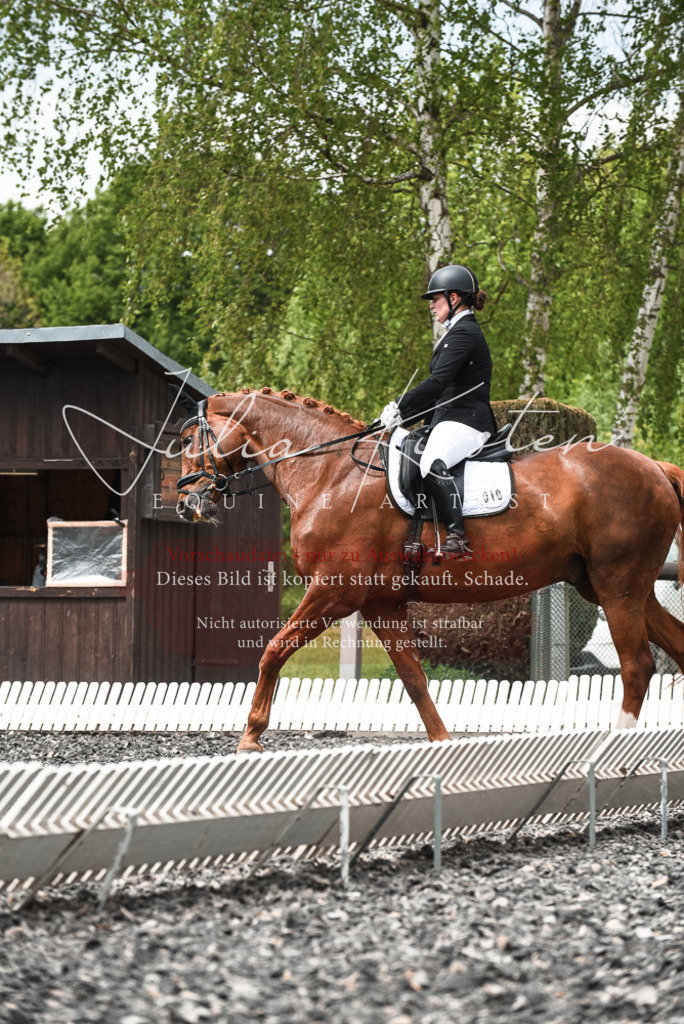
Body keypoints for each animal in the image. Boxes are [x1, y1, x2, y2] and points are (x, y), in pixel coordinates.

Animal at [175, 386, 684, 752]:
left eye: (186, 440)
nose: (187, 505)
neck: (330, 475)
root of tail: (654, 466)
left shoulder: (332, 593)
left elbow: (272, 650)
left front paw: (250, 738)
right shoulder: (380, 605)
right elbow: (415, 680)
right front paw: (441, 745)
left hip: (618, 587)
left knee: (636, 666)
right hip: (616, 589)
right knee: (673, 647)